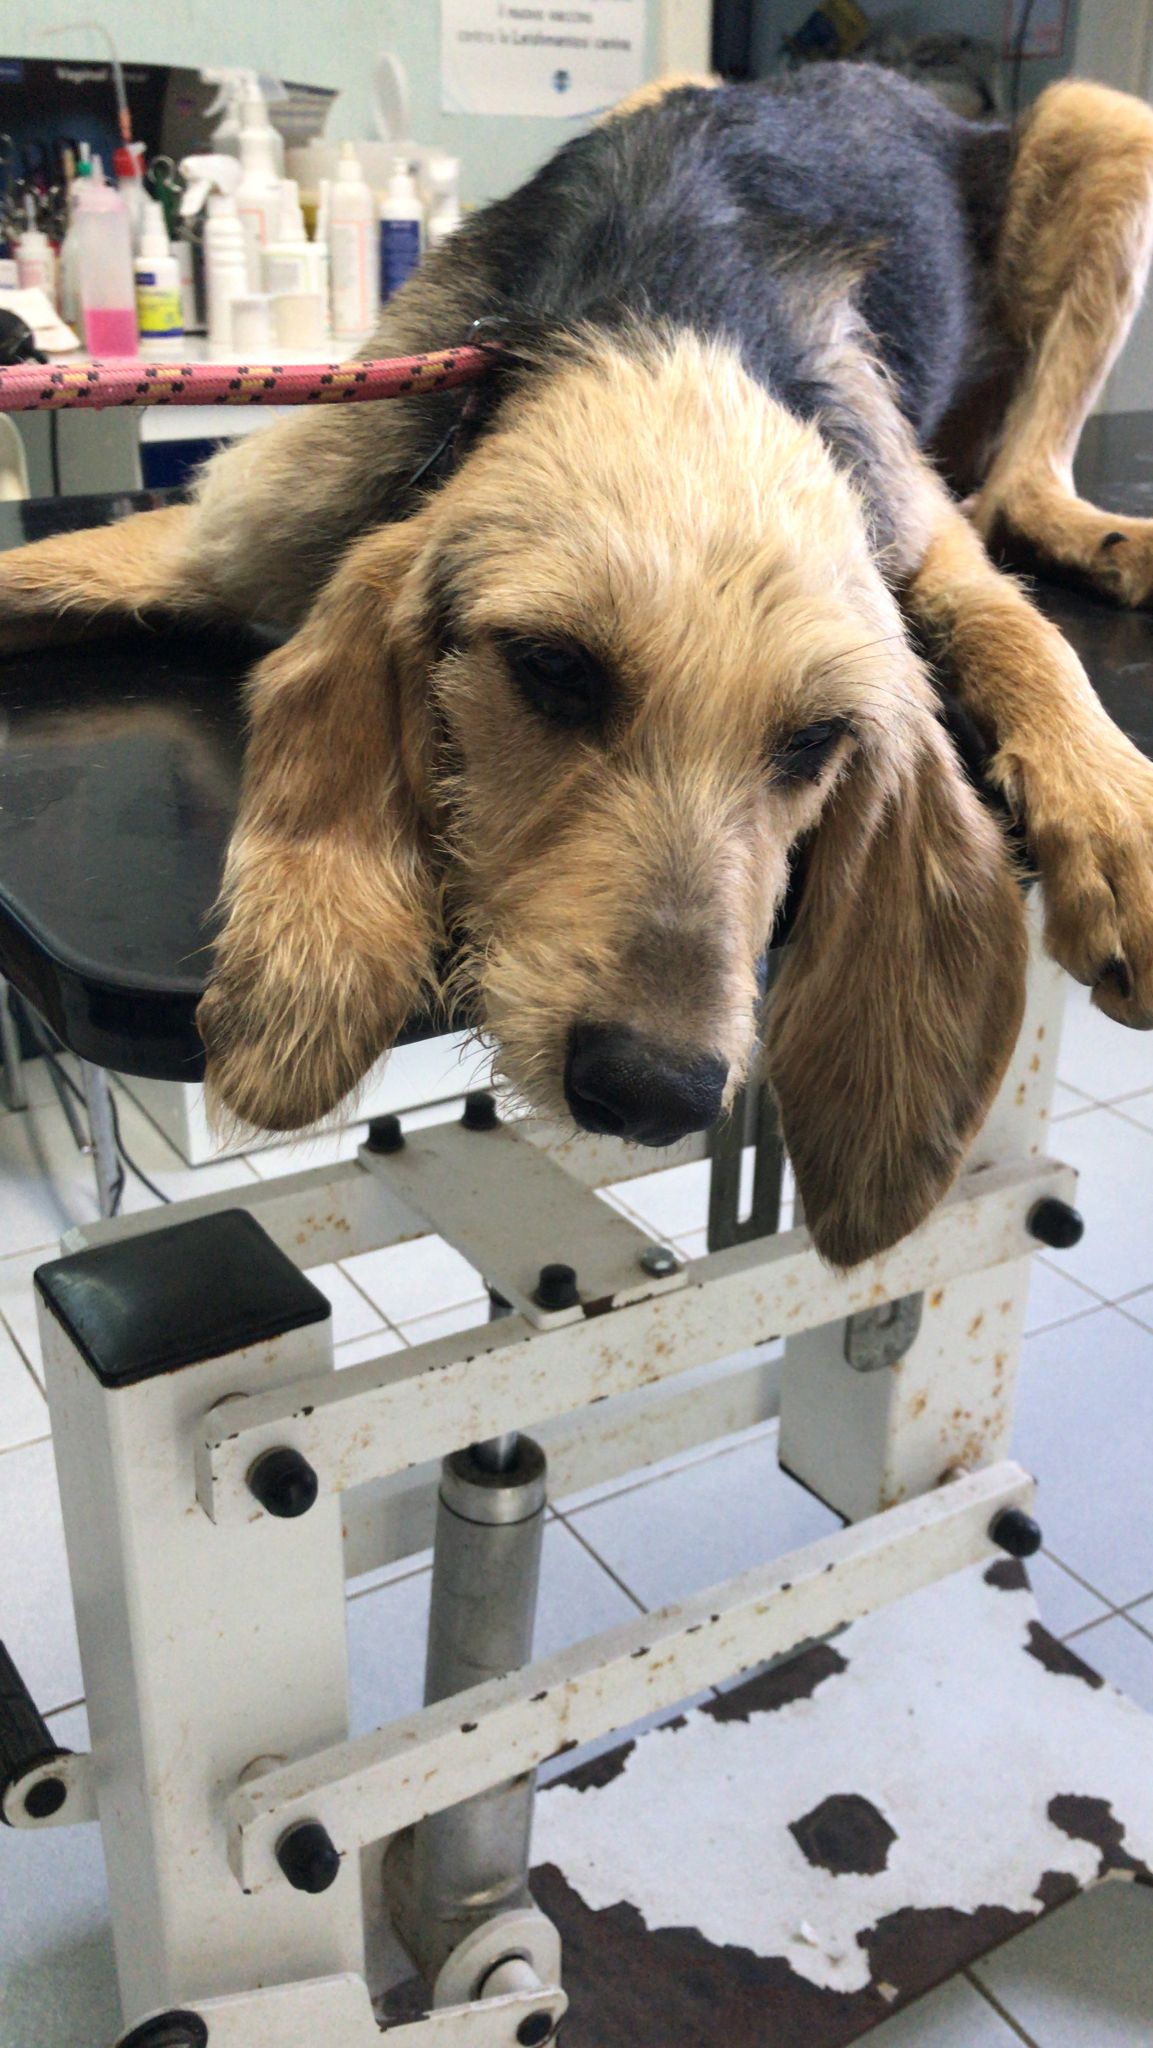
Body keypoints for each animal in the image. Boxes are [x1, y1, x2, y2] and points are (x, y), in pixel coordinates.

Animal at [3, 64, 1153, 1268]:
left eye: (814, 740)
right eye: (553, 667)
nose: (653, 1093)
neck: (669, 329)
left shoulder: (911, 525)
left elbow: (1015, 630)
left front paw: (1112, 808)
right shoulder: (229, 530)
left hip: (1102, 124)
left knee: (1018, 484)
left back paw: (1103, 539)